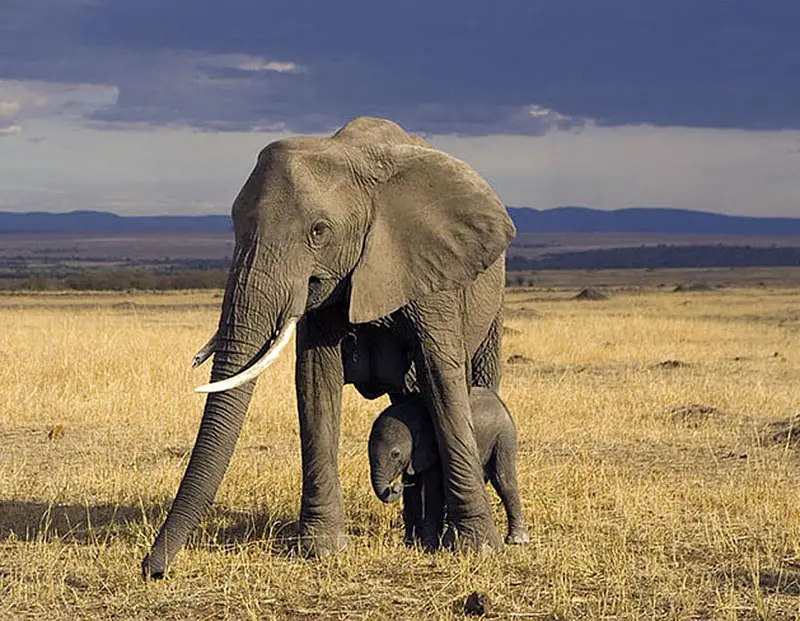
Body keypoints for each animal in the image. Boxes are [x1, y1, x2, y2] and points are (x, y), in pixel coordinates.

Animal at [370, 388, 532, 548]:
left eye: (395, 454)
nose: (394, 487)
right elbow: (413, 489)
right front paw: (410, 543)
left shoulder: (433, 448)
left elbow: (433, 488)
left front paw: (428, 545)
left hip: (504, 435)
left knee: (502, 480)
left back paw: (517, 540)